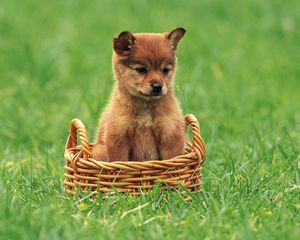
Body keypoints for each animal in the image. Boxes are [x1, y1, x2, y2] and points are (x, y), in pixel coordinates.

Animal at [92, 27, 185, 161]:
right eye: (141, 69)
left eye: (165, 70)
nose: (158, 87)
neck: (146, 107)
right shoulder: (118, 138)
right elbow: (119, 162)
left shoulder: (170, 136)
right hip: (99, 151)